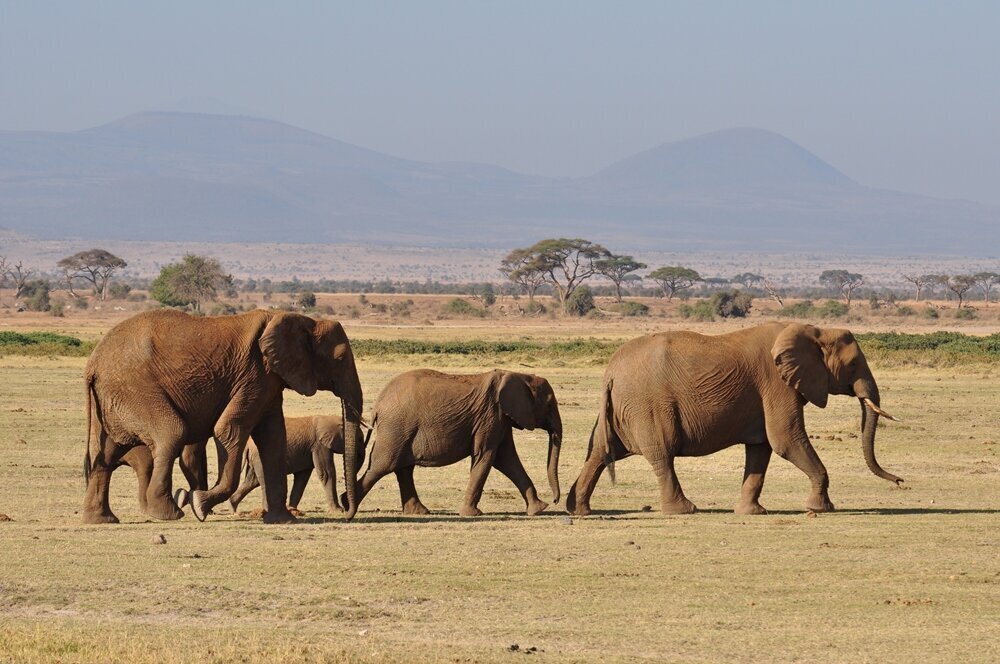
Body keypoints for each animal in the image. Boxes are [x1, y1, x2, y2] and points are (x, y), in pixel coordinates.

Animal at [82, 310, 364, 524]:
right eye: (340, 358)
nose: (347, 511)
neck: (300, 319)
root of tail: (92, 365)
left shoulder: (269, 381)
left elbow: (273, 440)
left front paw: (283, 520)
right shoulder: (255, 374)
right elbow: (228, 429)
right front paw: (198, 504)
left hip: (113, 400)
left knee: (106, 455)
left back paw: (102, 519)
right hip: (134, 390)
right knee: (172, 433)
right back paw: (169, 513)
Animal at [344, 368, 564, 520]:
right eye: (549, 405)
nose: (555, 500)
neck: (519, 375)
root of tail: (378, 405)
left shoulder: (501, 419)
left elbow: (507, 460)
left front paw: (539, 509)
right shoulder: (490, 416)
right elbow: (486, 457)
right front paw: (472, 514)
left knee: (403, 468)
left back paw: (419, 512)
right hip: (396, 427)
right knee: (382, 466)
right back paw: (347, 503)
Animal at [564, 322, 908, 520]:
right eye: (852, 365)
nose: (900, 481)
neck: (814, 331)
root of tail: (610, 373)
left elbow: (761, 448)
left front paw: (752, 513)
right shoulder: (776, 383)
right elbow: (785, 439)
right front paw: (820, 509)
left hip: (622, 409)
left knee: (600, 451)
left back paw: (578, 510)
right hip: (646, 405)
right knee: (661, 454)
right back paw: (684, 510)